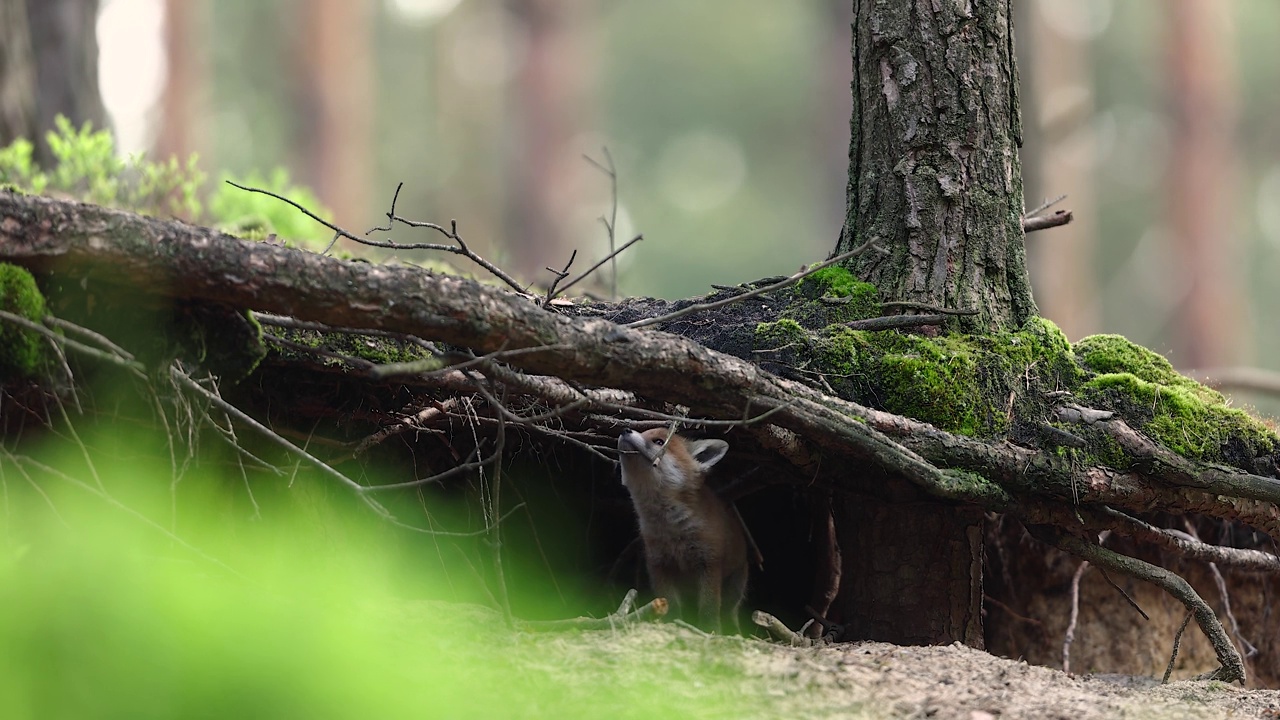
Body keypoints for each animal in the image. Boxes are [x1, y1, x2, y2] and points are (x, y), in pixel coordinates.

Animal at [614, 427, 747, 630]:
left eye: (659, 442)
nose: (625, 429)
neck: (672, 531)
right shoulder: (658, 564)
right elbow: (670, 602)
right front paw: (670, 621)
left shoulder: (709, 562)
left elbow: (709, 607)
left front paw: (709, 630)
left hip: (733, 590)